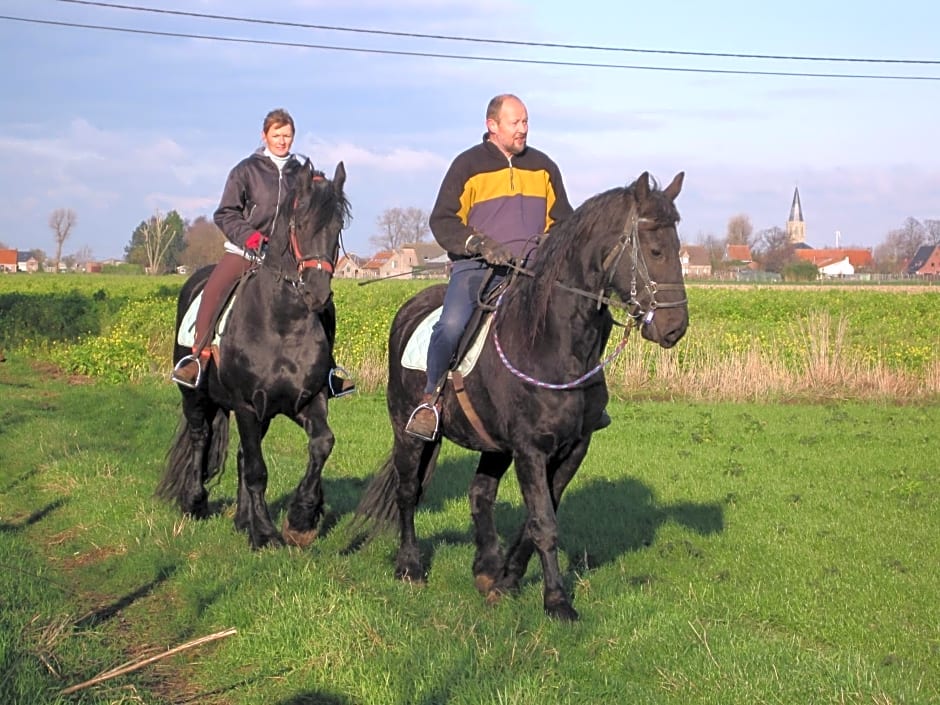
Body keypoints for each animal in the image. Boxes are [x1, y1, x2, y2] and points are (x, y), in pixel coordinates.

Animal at [160, 161, 350, 552]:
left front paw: (302, 518)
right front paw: (265, 533)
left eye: (337, 227)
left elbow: (322, 444)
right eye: (299, 223)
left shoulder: (307, 400)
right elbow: (257, 471)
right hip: (195, 396)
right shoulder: (247, 406)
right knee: (201, 438)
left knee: (241, 454)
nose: (317, 294)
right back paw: (195, 501)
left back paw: (241, 518)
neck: (281, 324)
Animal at [356, 173, 688, 620]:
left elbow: (536, 520)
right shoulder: (531, 449)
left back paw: (486, 568)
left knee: (480, 494)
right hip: (408, 432)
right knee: (409, 492)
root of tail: (411, 308)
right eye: (654, 249)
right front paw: (558, 602)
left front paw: (507, 580)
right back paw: (409, 566)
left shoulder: (573, 448)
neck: (551, 342)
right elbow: (544, 524)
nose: (674, 327)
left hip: (493, 444)